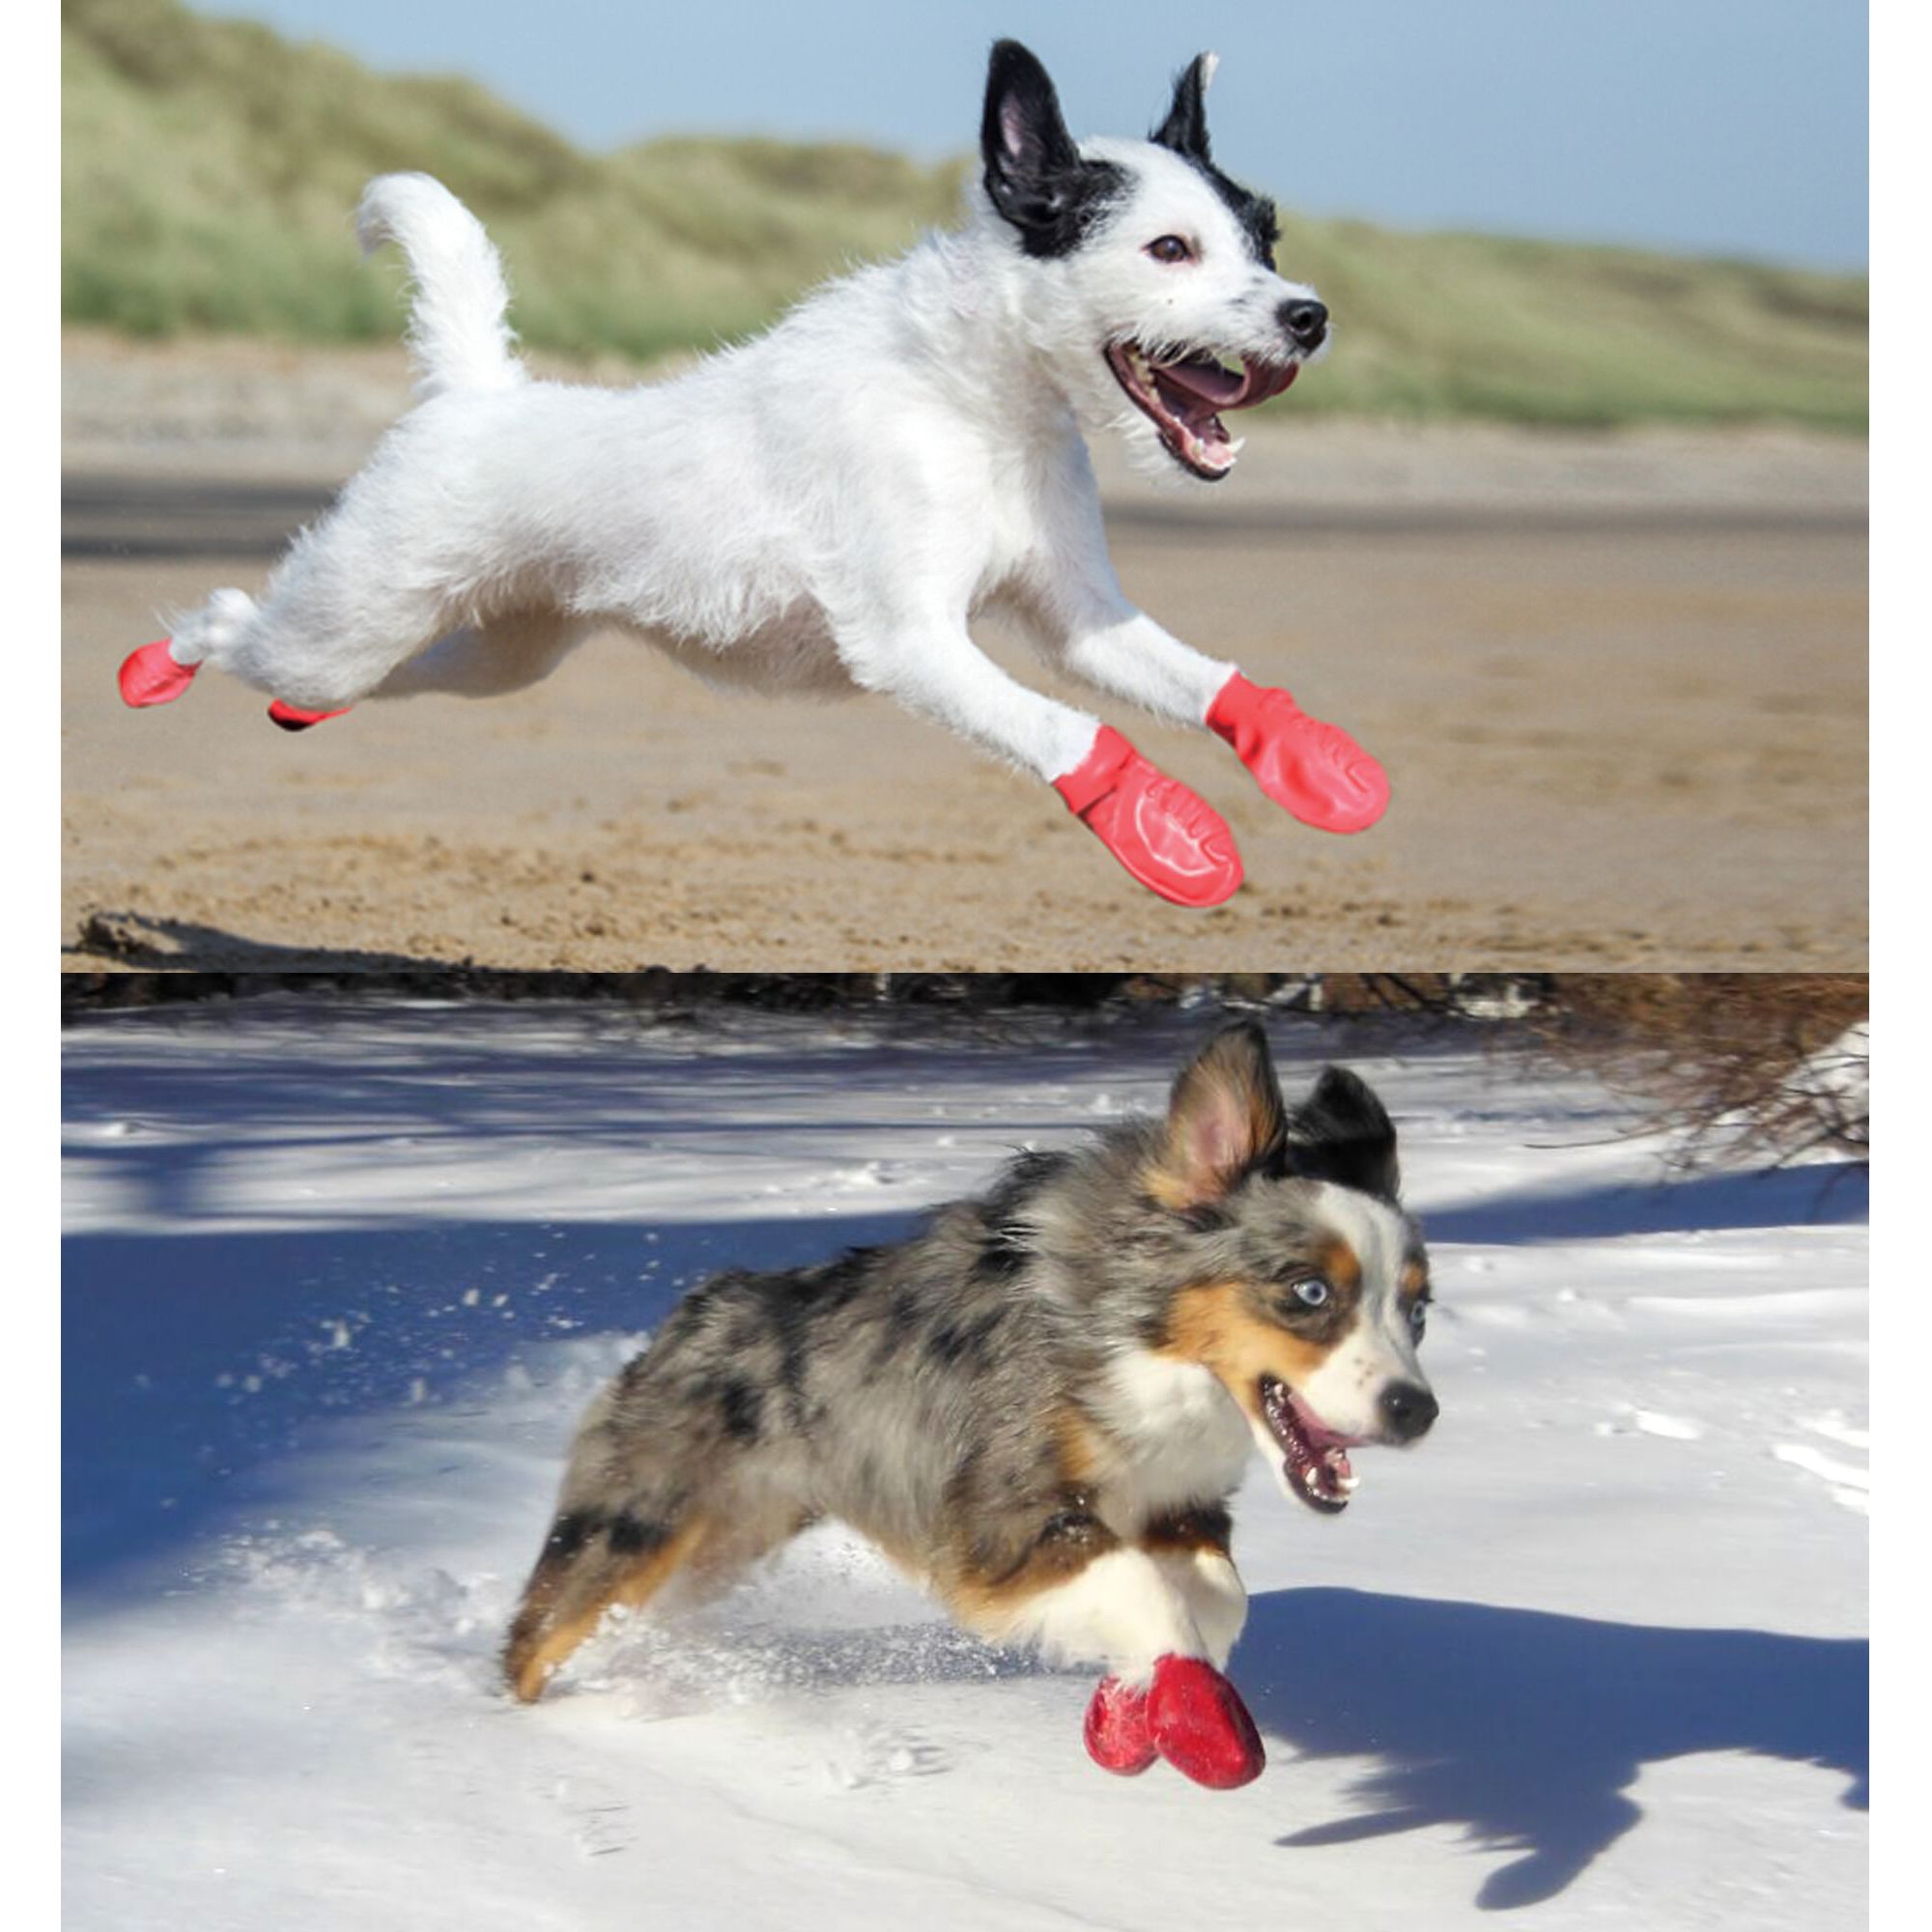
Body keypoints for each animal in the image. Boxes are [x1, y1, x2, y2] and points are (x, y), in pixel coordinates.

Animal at [121, 43, 1391, 904]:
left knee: (368, 679)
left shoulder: (1075, 615)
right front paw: (1165, 828)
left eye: (1262, 235)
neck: (975, 406)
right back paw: (162, 661)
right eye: (1168, 249)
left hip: (490, 655)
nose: (1308, 315)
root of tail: (475, 394)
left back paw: (280, 707)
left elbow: (1194, 679)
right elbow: (1061, 731)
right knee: (236, 617)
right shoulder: (912, 643)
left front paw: (1306, 757)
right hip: (350, 614)